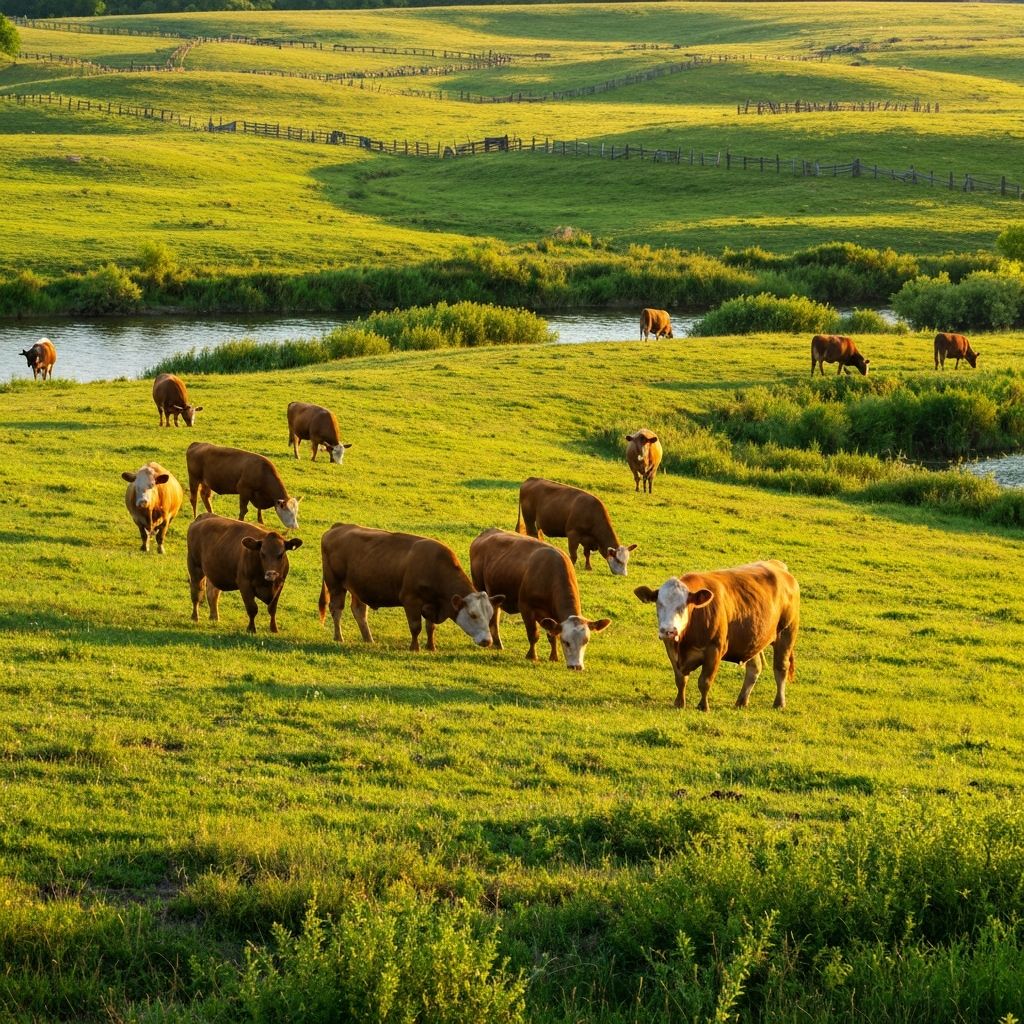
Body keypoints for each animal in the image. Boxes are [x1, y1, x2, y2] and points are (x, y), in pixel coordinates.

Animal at [318, 523, 501, 651]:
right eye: (473, 615)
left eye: (490, 615)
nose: (487, 641)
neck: (435, 567)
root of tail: (338, 527)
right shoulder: (411, 601)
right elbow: (415, 626)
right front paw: (415, 648)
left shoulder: (432, 604)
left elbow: (430, 627)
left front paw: (431, 647)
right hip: (335, 585)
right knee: (336, 609)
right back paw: (339, 637)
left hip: (357, 586)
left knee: (359, 611)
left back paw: (368, 639)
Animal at [470, 528, 610, 670]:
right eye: (566, 641)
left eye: (586, 641)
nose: (576, 666)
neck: (550, 576)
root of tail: (486, 533)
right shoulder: (526, 607)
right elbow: (533, 634)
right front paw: (532, 656)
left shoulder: (551, 617)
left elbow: (552, 635)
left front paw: (554, 657)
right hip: (480, 586)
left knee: (495, 615)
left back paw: (497, 643)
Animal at [634, 560, 800, 711]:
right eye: (659, 604)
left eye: (682, 606)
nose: (668, 631)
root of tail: (778, 565)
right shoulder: (671, 649)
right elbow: (680, 679)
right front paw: (679, 703)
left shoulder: (715, 649)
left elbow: (704, 681)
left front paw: (703, 706)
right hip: (754, 639)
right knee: (754, 668)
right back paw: (741, 701)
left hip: (786, 633)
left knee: (781, 668)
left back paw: (779, 703)